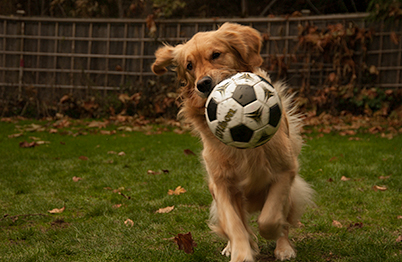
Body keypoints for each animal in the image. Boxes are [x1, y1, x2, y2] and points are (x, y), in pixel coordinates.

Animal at [152, 23, 312, 262]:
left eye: (216, 55)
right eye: (189, 66)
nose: (203, 84)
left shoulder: (285, 170)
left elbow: (270, 217)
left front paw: (273, 235)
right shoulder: (222, 183)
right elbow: (235, 224)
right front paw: (241, 253)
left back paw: (284, 247)